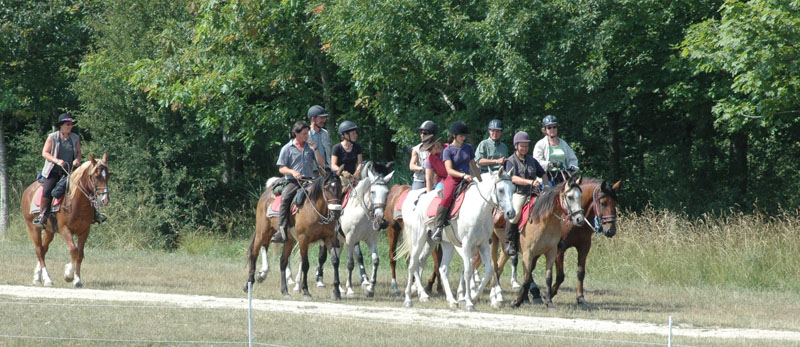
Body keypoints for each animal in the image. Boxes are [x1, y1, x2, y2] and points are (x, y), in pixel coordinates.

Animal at [20, 155, 111, 288]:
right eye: (96, 176)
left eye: (108, 175)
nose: (105, 199)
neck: (76, 203)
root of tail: (28, 189)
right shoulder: (64, 230)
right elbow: (74, 250)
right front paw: (68, 275)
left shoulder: (85, 231)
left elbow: (80, 254)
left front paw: (77, 280)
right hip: (33, 227)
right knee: (39, 251)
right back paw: (47, 279)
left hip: (49, 231)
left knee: (43, 249)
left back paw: (37, 278)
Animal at [244, 167, 344, 300]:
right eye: (326, 188)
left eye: (340, 187)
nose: (336, 213)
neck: (316, 210)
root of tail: (266, 193)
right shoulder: (303, 239)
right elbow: (305, 264)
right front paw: (305, 291)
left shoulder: (329, 238)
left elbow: (335, 261)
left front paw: (336, 292)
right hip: (262, 232)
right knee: (254, 254)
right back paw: (249, 283)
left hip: (289, 239)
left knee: (283, 261)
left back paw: (284, 291)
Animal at [396, 167, 516, 312]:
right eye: (501, 190)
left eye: (513, 189)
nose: (511, 213)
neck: (479, 210)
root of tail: (419, 199)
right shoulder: (466, 245)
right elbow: (468, 270)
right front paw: (469, 301)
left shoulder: (483, 245)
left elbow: (488, 270)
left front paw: (474, 297)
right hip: (418, 239)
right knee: (413, 264)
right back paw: (409, 299)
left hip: (439, 243)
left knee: (440, 268)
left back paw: (451, 300)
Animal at [516, 177, 584, 310]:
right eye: (570, 197)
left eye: (581, 196)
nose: (580, 219)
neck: (542, 221)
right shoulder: (528, 253)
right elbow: (526, 278)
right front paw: (516, 301)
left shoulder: (551, 252)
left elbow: (548, 278)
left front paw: (548, 301)